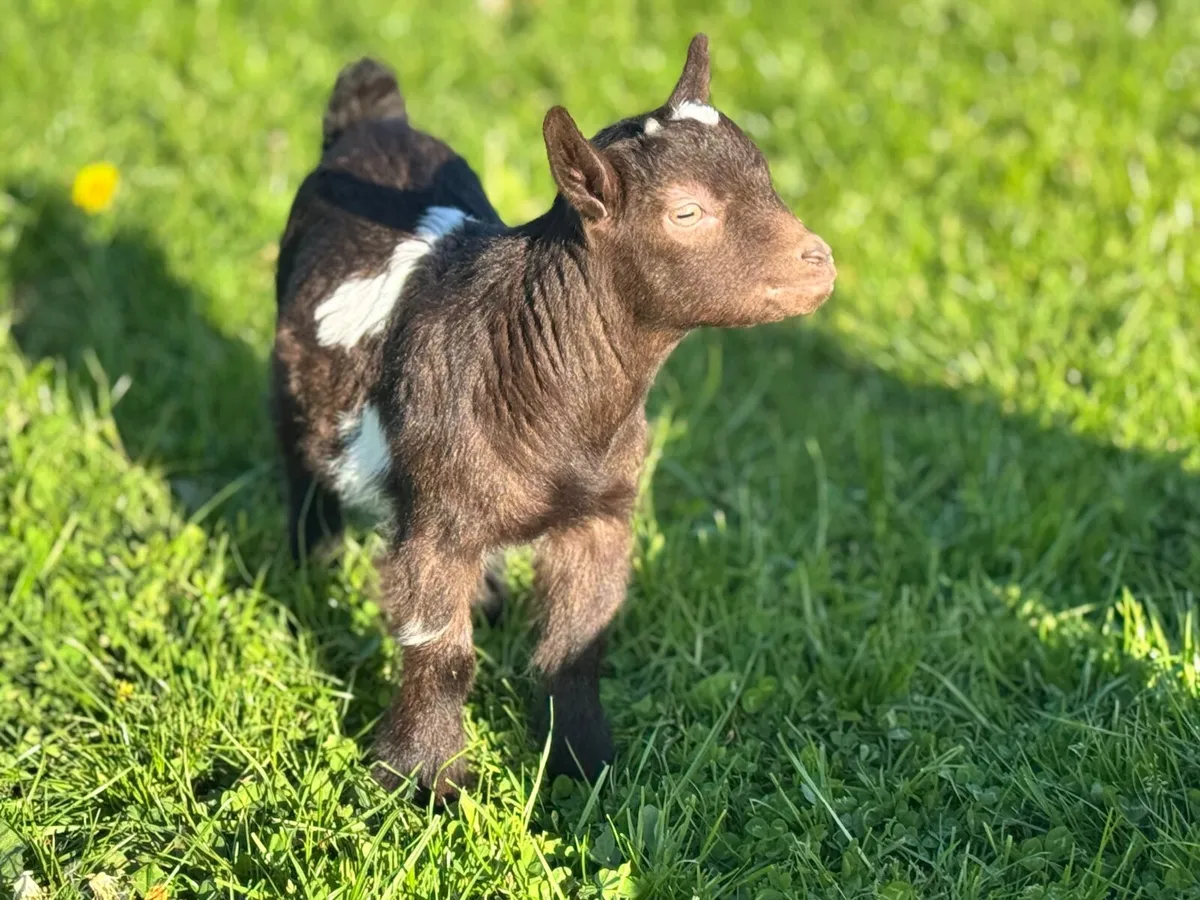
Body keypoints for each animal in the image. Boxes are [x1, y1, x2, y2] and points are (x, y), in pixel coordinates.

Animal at [271, 34, 836, 802]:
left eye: (767, 175)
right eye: (687, 213)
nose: (822, 263)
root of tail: (372, 118)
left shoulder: (602, 514)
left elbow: (576, 648)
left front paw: (586, 765)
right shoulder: (437, 519)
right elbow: (441, 653)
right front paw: (423, 782)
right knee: (302, 465)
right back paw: (312, 563)